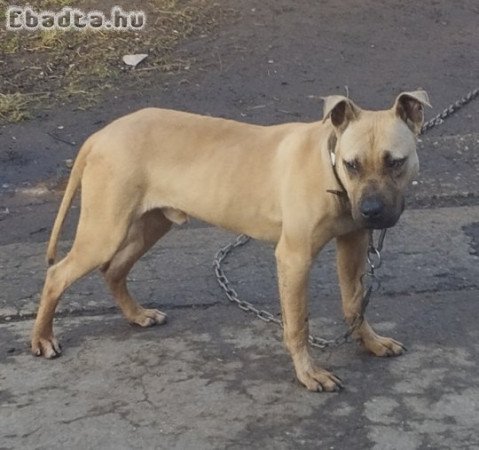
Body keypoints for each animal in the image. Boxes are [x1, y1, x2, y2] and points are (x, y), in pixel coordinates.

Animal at [31, 89, 434, 392]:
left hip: (151, 225)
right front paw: (308, 373)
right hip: (105, 230)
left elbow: (354, 303)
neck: (329, 165)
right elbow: (298, 324)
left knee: (113, 270)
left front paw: (371, 342)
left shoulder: (352, 243)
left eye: (395, 162)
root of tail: (101, 135)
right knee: (57, 274)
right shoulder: (294, 258)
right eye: (352, 165)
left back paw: (136, 314)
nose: (371, 211)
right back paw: (43, 338)